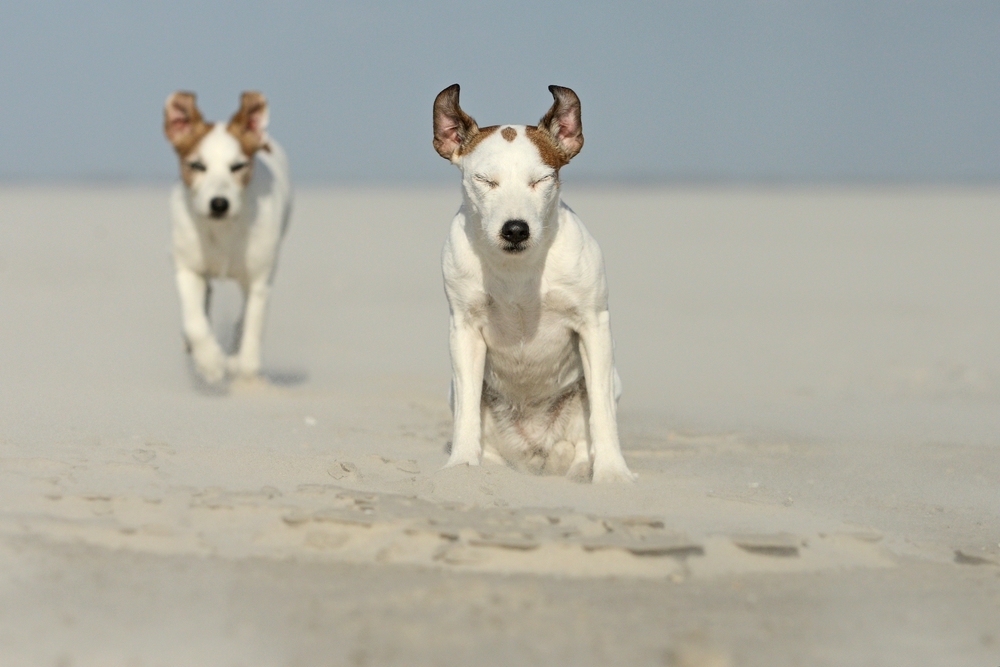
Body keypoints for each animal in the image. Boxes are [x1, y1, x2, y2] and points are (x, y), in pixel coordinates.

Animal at [162, 90, 292, 384]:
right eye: (197, 165)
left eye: (238, 166)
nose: (219, 204)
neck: (221, 231)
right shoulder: (188, 268)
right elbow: (196, 322)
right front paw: (210, 363)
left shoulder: (259, 278)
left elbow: (251, 328)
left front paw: (239, 366)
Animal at [436, 83, 636, 482]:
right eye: (484, 180)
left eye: (542, 179)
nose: (515, 229)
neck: (519, 271)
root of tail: (533, 451)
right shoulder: (464, 332)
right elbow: (467, 412)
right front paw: (462, 464)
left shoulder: (594, 326)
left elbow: (603, 414)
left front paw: (612, 473)